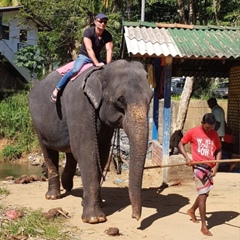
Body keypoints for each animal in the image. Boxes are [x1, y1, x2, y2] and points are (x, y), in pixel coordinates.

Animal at [28, 59, 152, 224]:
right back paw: (53, 196)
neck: (101, 72)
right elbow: (87, 152)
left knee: (70, 152)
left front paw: (97, 205)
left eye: (151, 98)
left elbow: (102, 153)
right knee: (49, 154)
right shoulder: (81, 106)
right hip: (38, 125)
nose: (135, 218)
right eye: (120, 100)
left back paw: (68, 186)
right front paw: (95, 219)